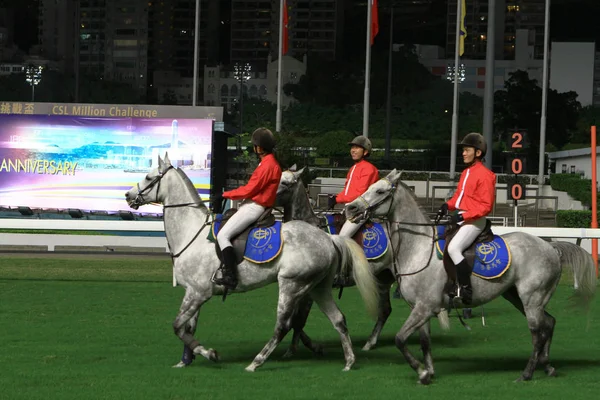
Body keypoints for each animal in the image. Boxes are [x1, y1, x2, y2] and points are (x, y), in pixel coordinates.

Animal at [125, 154, 380, 372]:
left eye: (149, 177)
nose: (128, 196)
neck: (192, 233)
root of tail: (328, 238)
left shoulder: (198, 293)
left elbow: (178, 326)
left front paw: (208, 353)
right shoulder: (193, 292)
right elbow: (188, 327)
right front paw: (186, 360)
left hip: (292, 285)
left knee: (283, 325)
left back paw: (256, 362)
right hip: (317, 288)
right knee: (338, 319)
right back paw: (349, 361)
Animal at [276, 169, 450, 356]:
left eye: (285, 182)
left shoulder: (309, 289)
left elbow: (298, 321)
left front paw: (297, 349)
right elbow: (296, 321)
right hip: (383, 278)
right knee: (385, 310)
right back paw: (370, 342)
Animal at [344, 170, 596, 384]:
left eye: (379, 191)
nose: (351, 208)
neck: (418, 248)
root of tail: (550, 247)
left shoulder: (424, 307)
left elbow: (399, 339)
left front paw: (421, 371)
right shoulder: (420, 308)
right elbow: (424, 342)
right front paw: (428, 372)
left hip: (531, 299)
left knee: (537, 333)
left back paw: (527, 373)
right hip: (517, 297)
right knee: (549, 323)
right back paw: (548, 366)